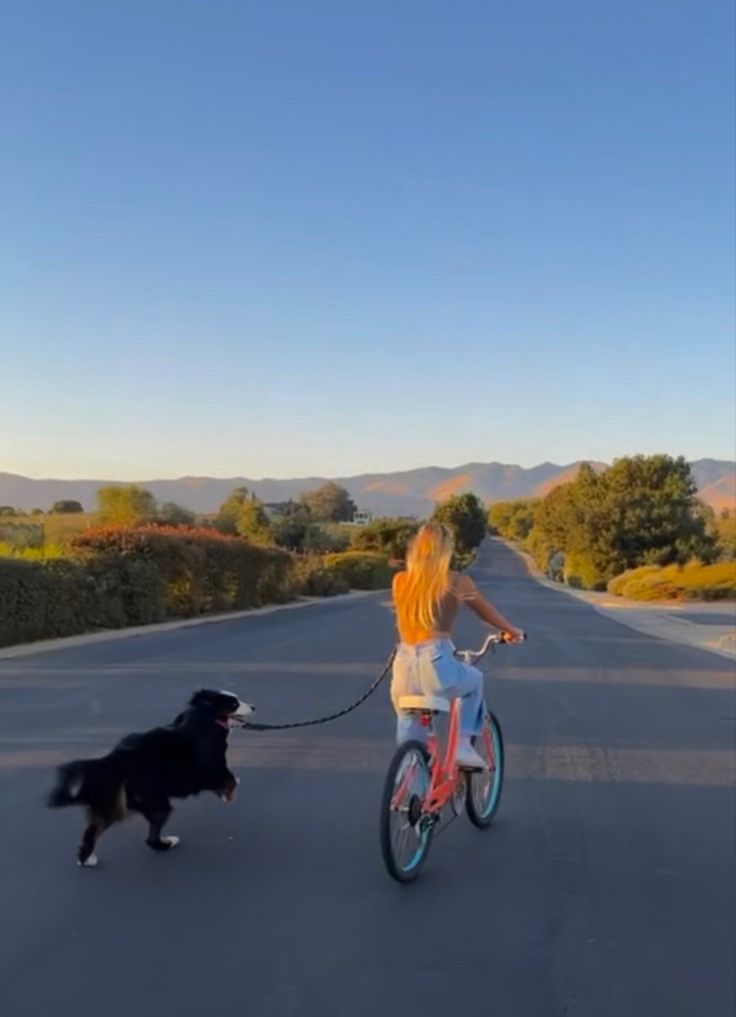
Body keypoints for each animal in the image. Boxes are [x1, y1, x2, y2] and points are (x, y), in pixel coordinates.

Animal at [46, 683, 253, 866]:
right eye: (234, 703)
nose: (253, 706)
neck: (206, 714)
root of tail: (114, 759)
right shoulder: (213, 765)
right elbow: (229, 780)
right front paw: (229, 796)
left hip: (115, 803)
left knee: (92, 831)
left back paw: (86, 859)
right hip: (156, 802)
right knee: (151, 838)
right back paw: (169, 842)